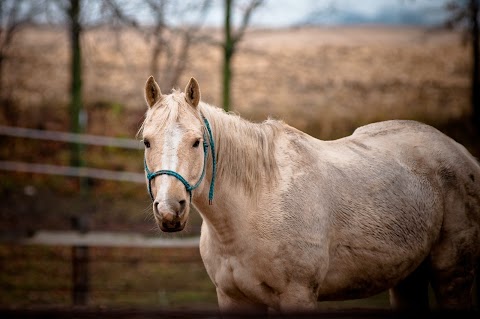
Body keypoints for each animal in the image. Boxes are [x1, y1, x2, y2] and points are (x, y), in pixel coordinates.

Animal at [140, 77, 480, 312]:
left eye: (197, 142)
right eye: (146, 142)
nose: (170, 210)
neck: (253, 207)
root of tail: (463, 154)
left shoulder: (298, 295)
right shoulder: (233, 298)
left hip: (453, 275)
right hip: (408, 277)